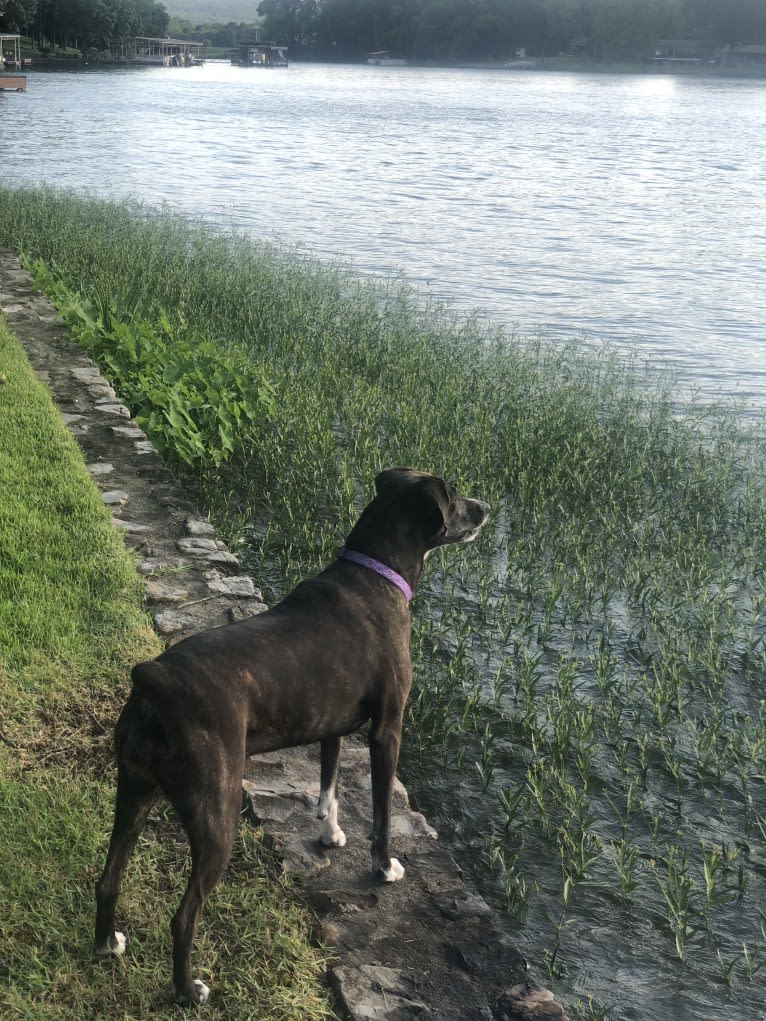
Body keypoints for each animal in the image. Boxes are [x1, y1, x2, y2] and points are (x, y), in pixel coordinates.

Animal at [96, 469, 488, 1004]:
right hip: (215, 818)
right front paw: (384, 866)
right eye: (450, 496)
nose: (485, 509)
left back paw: (106, 943)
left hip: (134, 790)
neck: (376, 572)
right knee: (183, 917)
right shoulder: (388, 730)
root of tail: (153, 681)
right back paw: (187, 989)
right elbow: (382, 810)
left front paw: (330, 835)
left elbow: (329, 786)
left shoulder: (333, 726)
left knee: (108, 878)